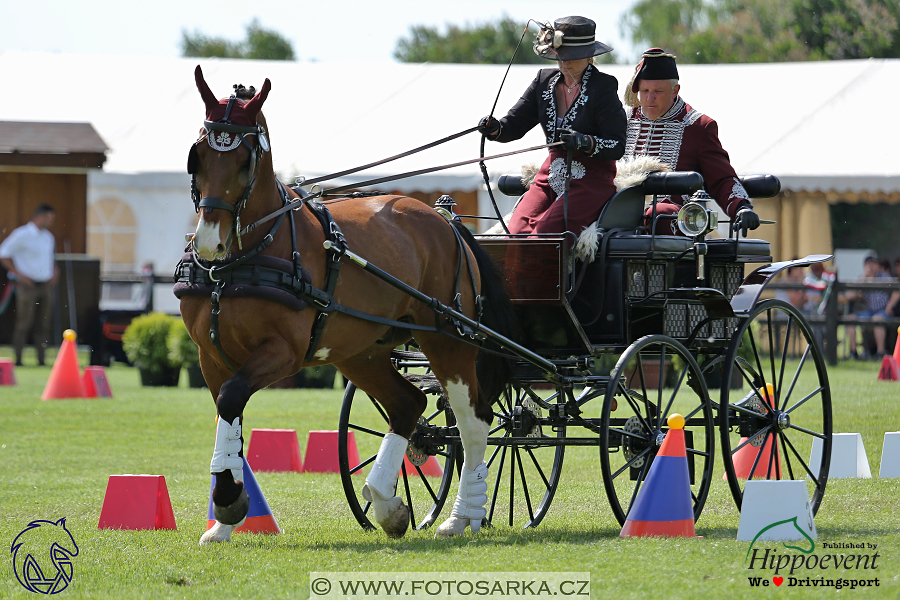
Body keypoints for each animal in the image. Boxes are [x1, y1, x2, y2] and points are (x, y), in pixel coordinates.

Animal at [179, 65, 516, 544]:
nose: (210, 241)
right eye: (198, 156)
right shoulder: (211, 357)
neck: (245, 259)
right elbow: (230, 416)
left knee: (474, 421)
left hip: (449, 341)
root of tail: (444, 219)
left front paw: (228, 503)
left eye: (245, 161)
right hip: (362, 351)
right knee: (408, 405)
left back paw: (460, 516)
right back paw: (387, 503)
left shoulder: (283, 353)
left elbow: (230, 401)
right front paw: (224, 522)